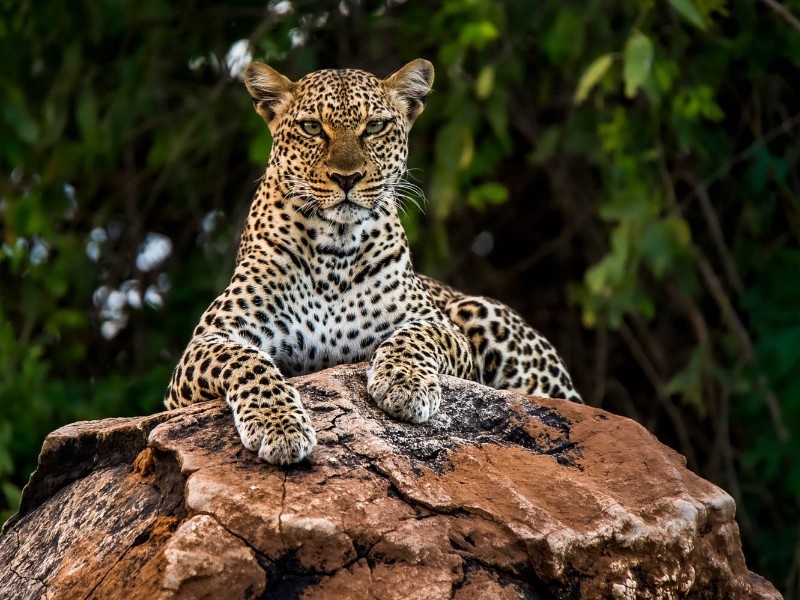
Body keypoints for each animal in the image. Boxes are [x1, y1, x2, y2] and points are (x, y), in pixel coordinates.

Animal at [164, 58, 582, 465]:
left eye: (375, 126)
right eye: (312, 127)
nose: (346, 178)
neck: (334, 249)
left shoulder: (442, 328)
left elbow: (414, 335)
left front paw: (404, 383)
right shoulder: (205, 345)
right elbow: (246, 360)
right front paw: (278, 425)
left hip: (479, 311)